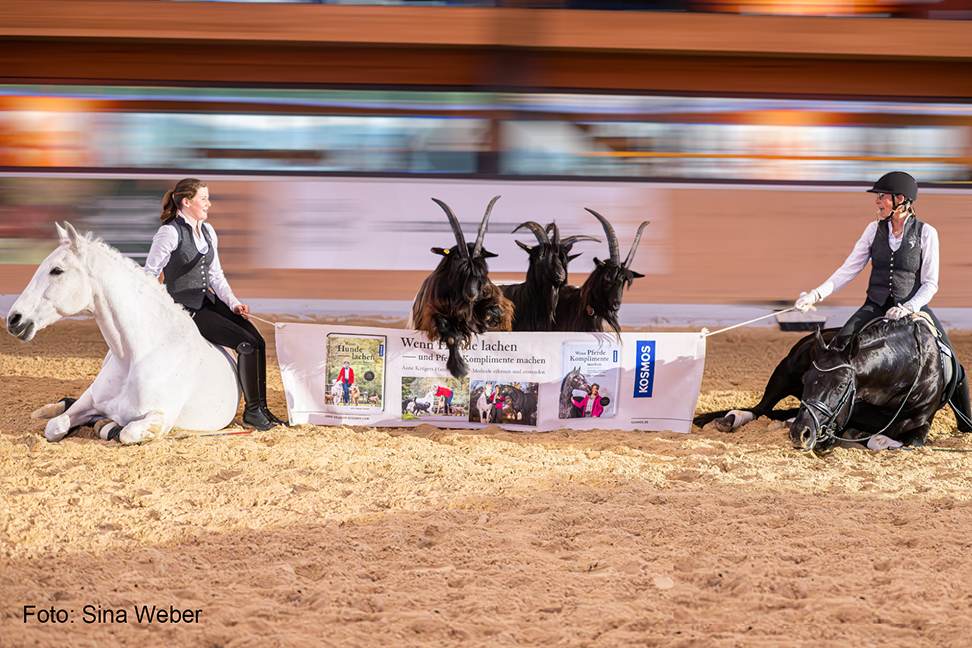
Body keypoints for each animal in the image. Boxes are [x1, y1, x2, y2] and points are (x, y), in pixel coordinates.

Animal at [5, 223, 240, 444]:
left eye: (56, 270)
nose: (13, 319)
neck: (137, 356)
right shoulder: (90, 400)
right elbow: (55, 426)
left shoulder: (160, 417)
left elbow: (126, 432)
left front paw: (106, 425)